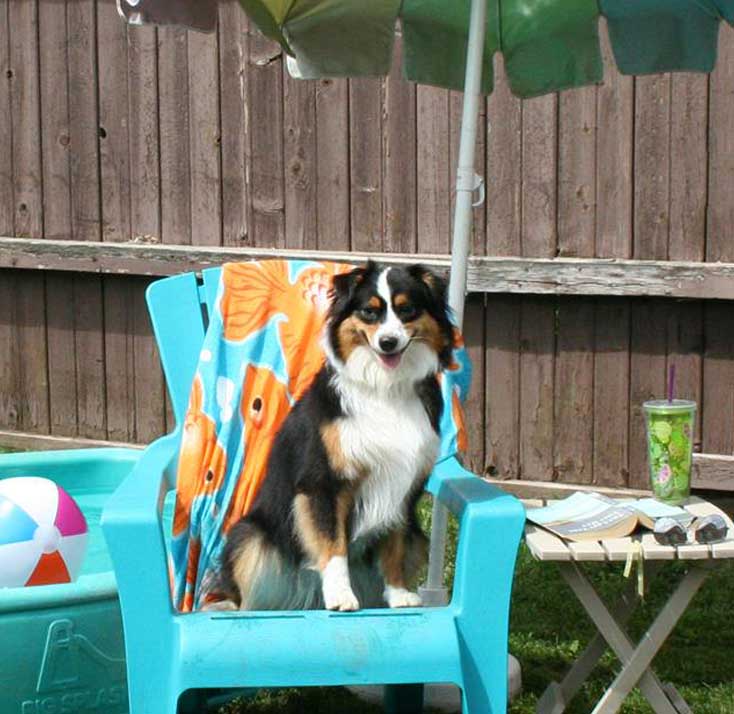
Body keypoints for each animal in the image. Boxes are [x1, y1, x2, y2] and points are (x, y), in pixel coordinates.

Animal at [218, 262, 454, 612]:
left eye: (407, 309)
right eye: (369, 312)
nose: (388, 342)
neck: (386, 387)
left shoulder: (401, 484)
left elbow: (394, 544)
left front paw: (398, 593)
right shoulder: (323, 482)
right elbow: (333, 546)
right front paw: (341, 596)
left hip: (418, 534)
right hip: (250, 535)